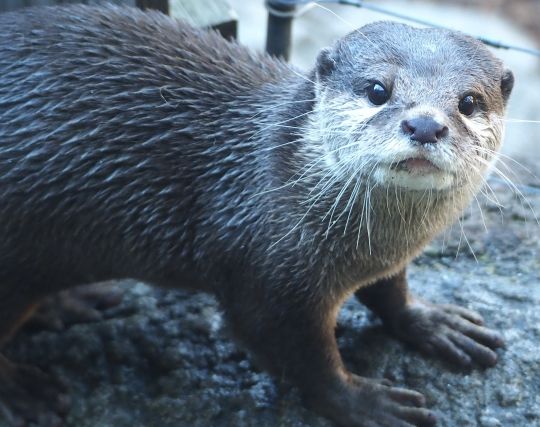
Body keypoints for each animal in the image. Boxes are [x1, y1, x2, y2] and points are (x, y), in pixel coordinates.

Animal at [0, 5, 516, 427]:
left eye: (469, 102)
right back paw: (28, 390)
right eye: (377, 90)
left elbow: (391, 291)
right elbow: (301, 358)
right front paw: (365, 403)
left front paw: (434, 322)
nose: (425, 124)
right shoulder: (265, 277)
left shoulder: (383, 258)